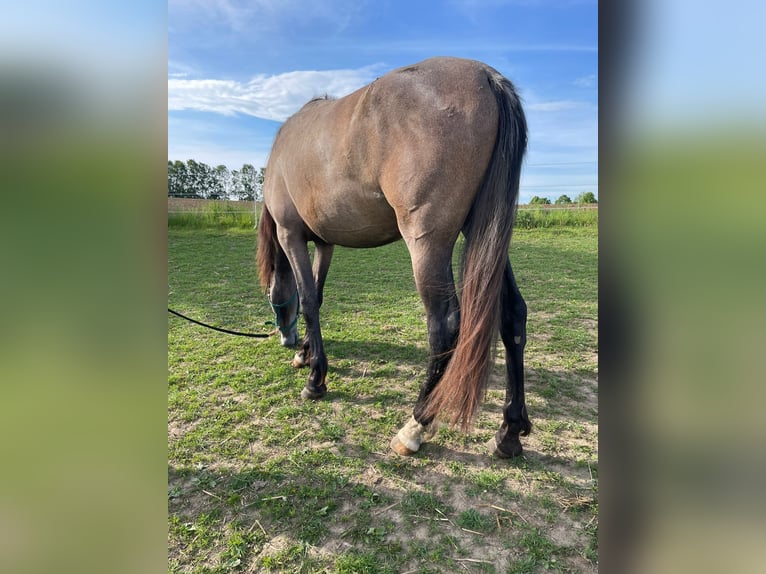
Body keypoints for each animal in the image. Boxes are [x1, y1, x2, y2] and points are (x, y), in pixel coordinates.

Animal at [258, 58, 536, 460]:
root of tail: (487, 77)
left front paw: (315, 378)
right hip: (484, 231)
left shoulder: (290, 235)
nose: (288, 340)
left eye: (269, 296)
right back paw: (509, 431)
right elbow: (318, 296)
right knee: (513, 315)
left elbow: (308, 300)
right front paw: (309, 355)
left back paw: (415, 425)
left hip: (427, 244)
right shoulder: (326, 243)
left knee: (445, 326)